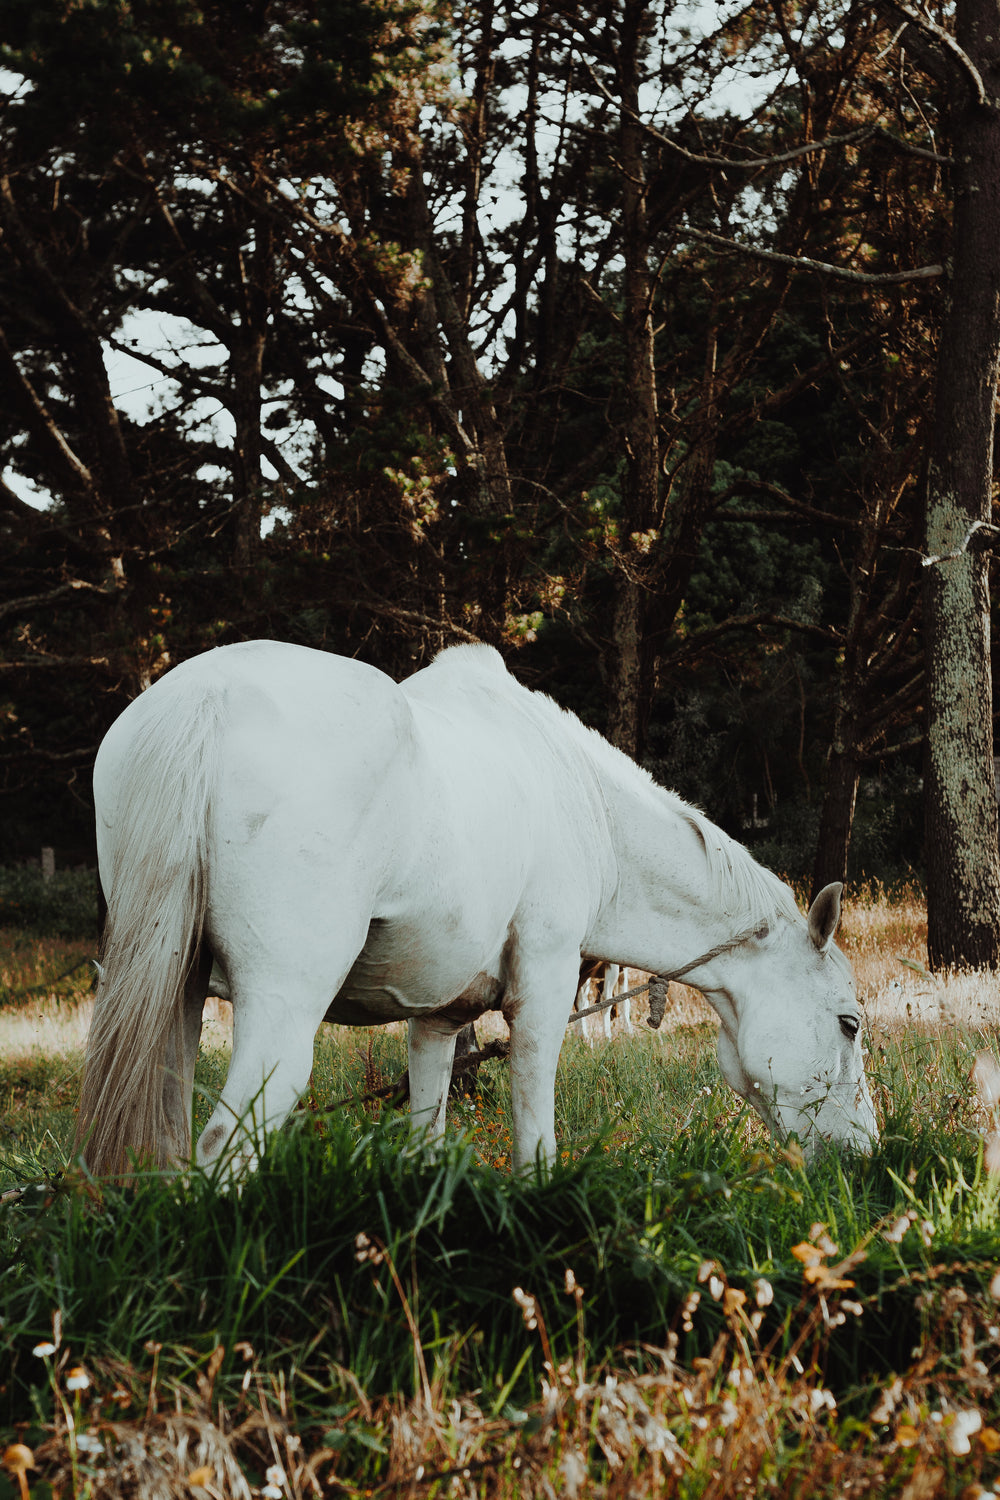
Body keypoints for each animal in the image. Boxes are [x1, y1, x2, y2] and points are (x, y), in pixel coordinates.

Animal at [76, 639, 875, 1176]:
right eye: (849, 1024)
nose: (865, 1153)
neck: (587, 806)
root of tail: (203, 698)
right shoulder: (545, 989)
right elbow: (535, 1141)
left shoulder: (436, 1021)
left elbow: (426, 1139)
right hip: (282, 1006)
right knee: (223, 1148)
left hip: (173, 998)